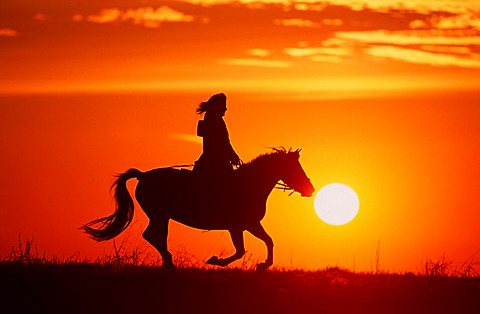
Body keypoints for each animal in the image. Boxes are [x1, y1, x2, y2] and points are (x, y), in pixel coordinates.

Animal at [82, 148, 316, 272]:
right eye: (295, 168)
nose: (310, 189)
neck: (250, 184)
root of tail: (143, 175)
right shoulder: (239, 226)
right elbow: (242, 250)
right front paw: (217, 261)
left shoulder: (249, 224)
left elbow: (268, 241)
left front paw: (263, 265)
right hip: (159, 215)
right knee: (152, 236)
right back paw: (169, 262)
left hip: (161, 216)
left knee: (154, 236)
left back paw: (168, 262)